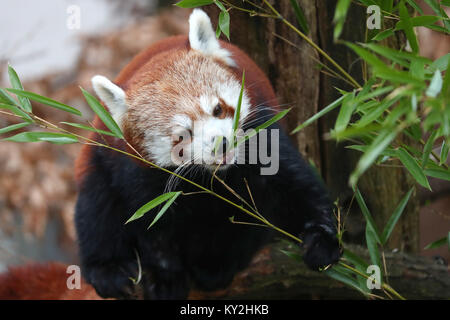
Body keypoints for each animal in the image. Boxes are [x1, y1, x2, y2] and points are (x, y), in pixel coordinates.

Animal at [2, 9, 342, 300]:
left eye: (218, 109)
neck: (213, 177)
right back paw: (110, 270)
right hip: (96, 168)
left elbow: (293, 188)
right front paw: (166, 278)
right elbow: (152, 225)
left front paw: (322, 240)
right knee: (96, 209)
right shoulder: (137, 172)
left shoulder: (262, 132)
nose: (220, 144)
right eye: (182, 135)